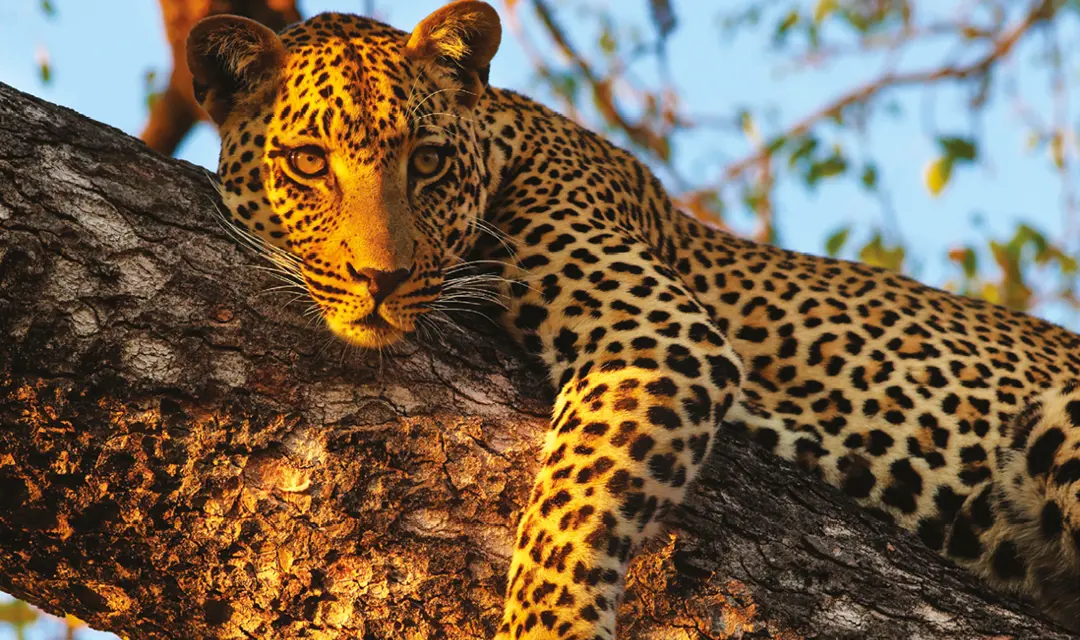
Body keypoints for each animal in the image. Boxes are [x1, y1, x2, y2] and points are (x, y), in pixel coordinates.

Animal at [186, 2, 1080, 637]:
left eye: (428, 162)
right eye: (309, 163)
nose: (382, 277)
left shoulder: (663, 337)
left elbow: (566, 512)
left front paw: (545, 629)